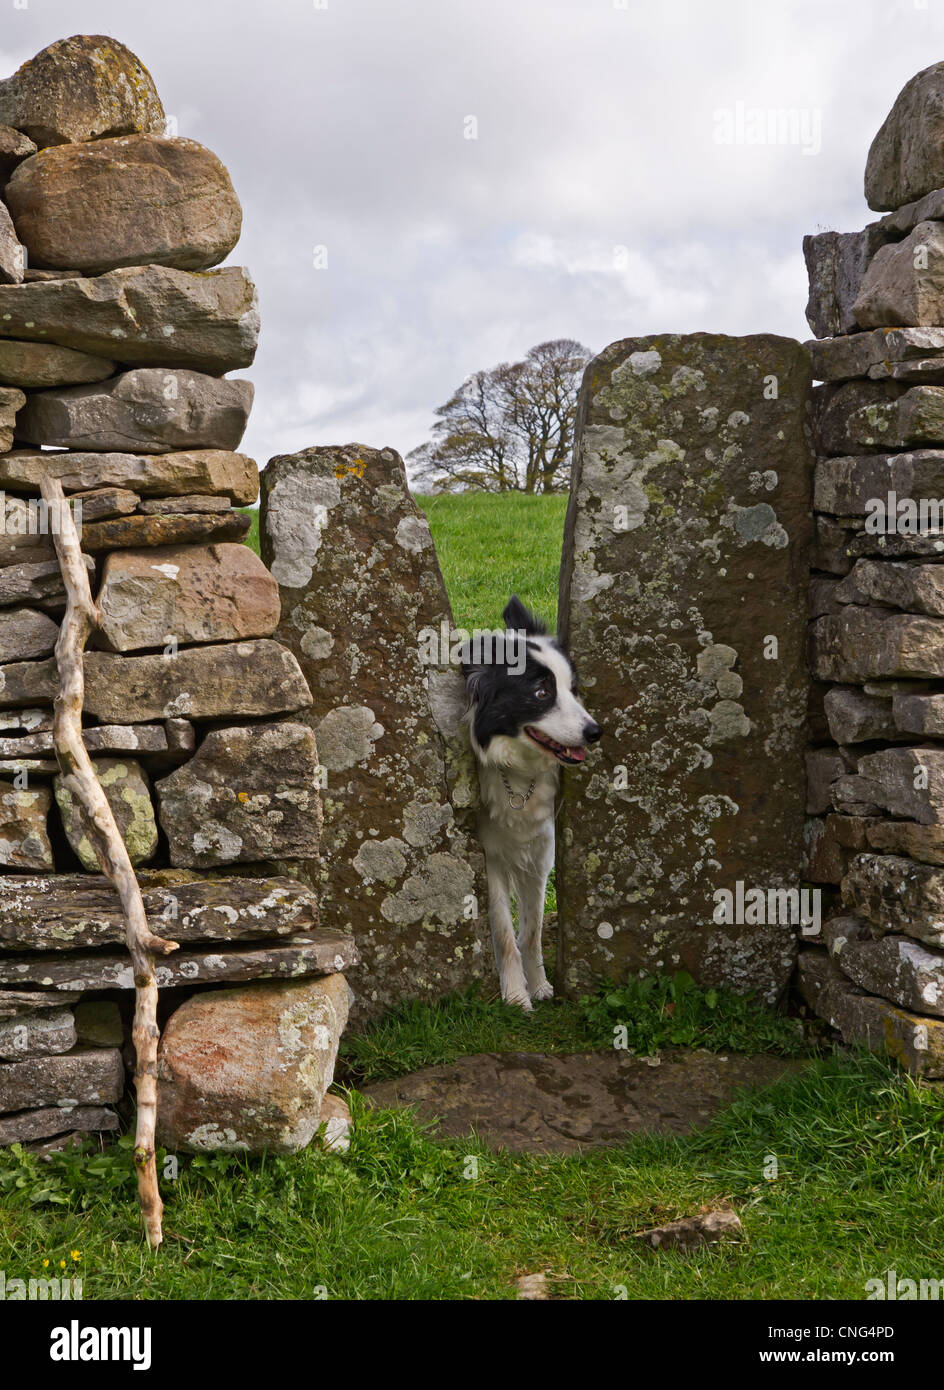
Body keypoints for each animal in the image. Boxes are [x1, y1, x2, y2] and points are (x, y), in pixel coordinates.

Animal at [464, 597, 606, 1011]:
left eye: (573, 689)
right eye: (541, 693)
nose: (595, 732)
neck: (519, 773)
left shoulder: (541, 851)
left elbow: (532, 929)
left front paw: (540, 984)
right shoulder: (491, 856)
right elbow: (504, 931)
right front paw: (514, 994)